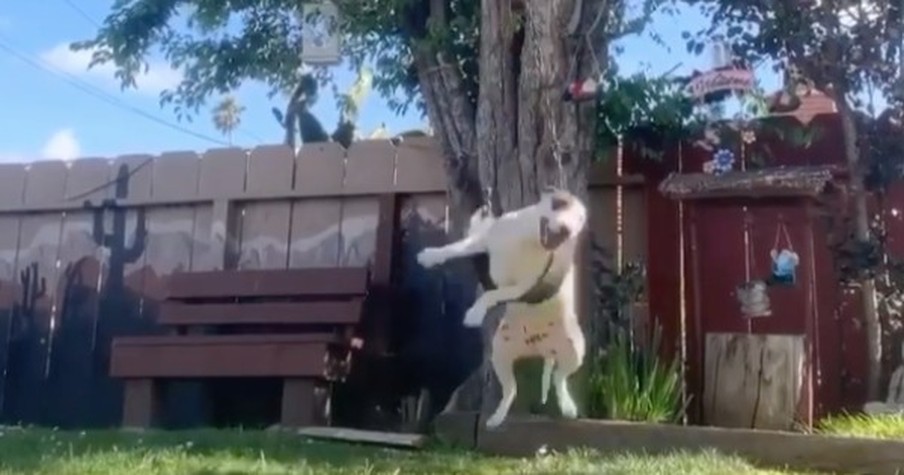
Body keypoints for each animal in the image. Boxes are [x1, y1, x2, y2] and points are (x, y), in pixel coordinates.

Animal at [414, 188, 588, 430]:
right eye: (560, 203)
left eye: (580, 219)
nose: (566, 230)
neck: (528, 239)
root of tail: (539, 348)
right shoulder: (484, 241)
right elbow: (455, 248)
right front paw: (430, 256)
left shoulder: (522, 288)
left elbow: (491, 294)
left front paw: (474, 313)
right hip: (500, 357)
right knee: (511, 390)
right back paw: (496, 418)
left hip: (575, 352)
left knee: (559, 378)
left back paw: (567, 406)